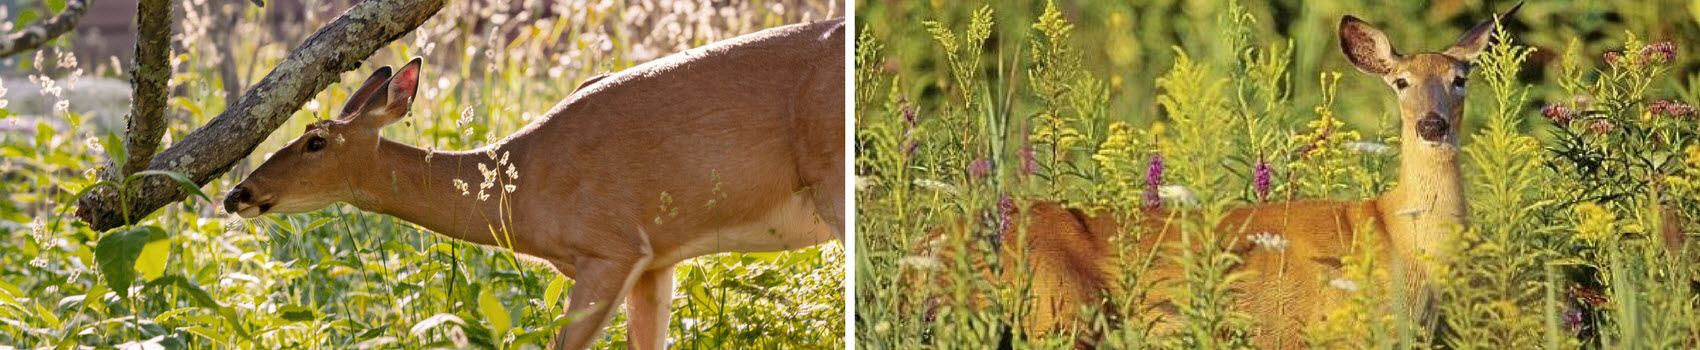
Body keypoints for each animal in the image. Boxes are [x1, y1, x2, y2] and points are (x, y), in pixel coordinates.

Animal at [219, 18, 843, 346]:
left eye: (315, 141)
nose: (235, 194)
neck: (521, 192)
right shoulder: (656, 260)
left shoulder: (610, 246)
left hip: (834, 181)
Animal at [938, 6, 1523, 348]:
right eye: (1401, 81)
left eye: (1460, 77)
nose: (1432, 124)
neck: (1399, 236)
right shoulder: (1325, 330)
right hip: (1057, 312)